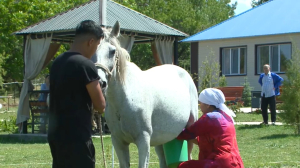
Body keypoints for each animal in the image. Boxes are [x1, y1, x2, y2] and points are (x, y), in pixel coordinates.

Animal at [95, 21, 199, 168]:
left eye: (112, 51)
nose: (100, 82)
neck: (124, 99)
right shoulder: (118, 141)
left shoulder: (143, 140)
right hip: (161, 140)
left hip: (190, 131)